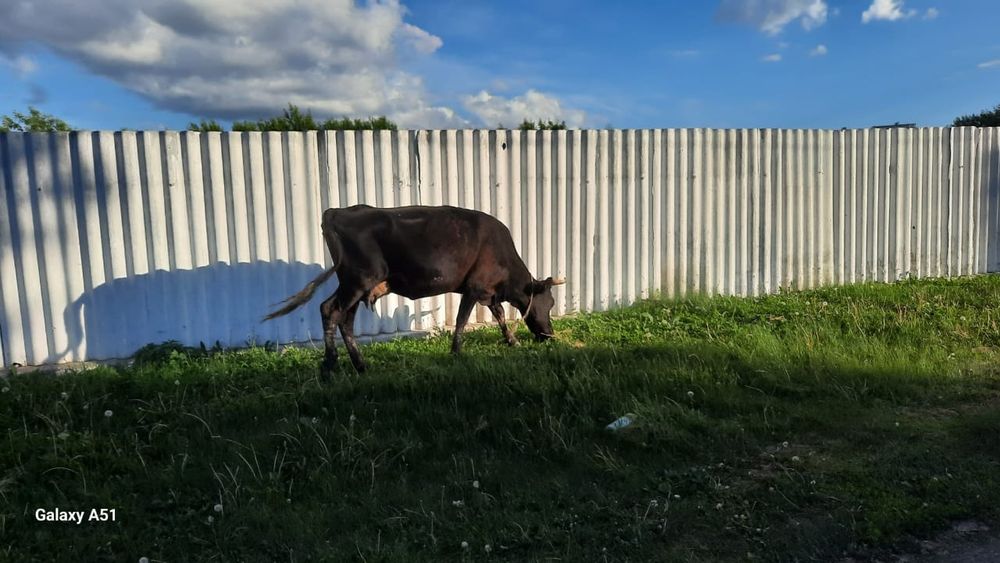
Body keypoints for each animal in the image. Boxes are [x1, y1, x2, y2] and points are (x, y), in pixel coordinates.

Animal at [264, 204, 566, 378]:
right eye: (548, 303)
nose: (549, 335)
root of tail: (336, 211)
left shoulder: (487, 291)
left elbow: (500, 314)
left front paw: (512, 341)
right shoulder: (474, 287)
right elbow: (462, 320)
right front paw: (456, 352)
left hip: (354, 285)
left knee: (344, 318)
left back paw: (360, 365)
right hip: (357, 280)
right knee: (330, 310)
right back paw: (330, 365)